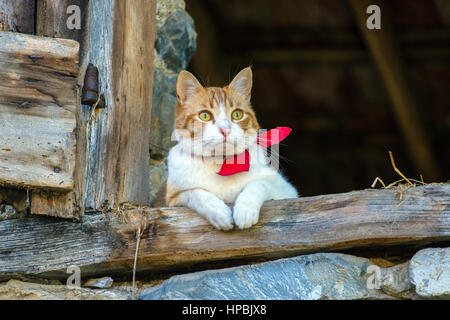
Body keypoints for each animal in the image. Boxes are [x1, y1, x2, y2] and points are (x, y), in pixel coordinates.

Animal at [165, 66, 298, 230]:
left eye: (237, 114)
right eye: (205, 116)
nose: (225, 130)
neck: (222, 164)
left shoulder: (286, 190)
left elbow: (259, 183)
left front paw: (245, 209)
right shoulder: (172, 199)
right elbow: (195, 193)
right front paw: (218, 212)